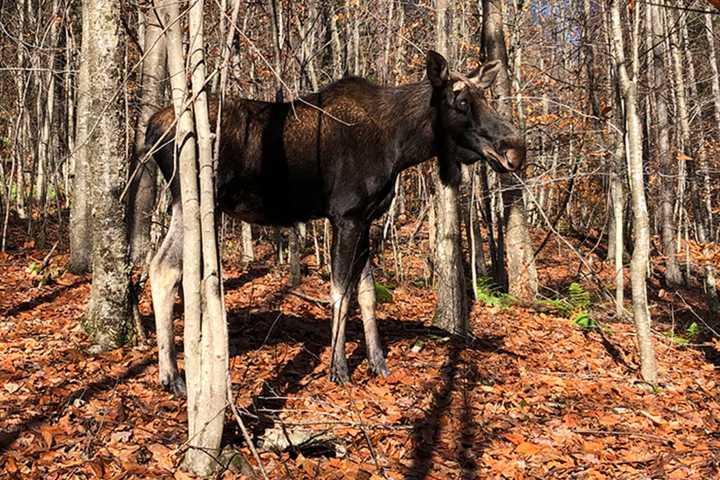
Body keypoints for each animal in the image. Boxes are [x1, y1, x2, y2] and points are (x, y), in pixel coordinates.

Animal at [145, 50, 524, 394]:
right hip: (191, 197)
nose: (514, 149)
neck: (402, 146)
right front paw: (338, 368)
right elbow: (340, 292)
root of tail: (150, 127)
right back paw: (173, 375)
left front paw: (377, 362)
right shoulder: (346, 215)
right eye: (459, 101)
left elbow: (367, 294)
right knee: (164, 267)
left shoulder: (366, 218)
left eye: (485, 97)